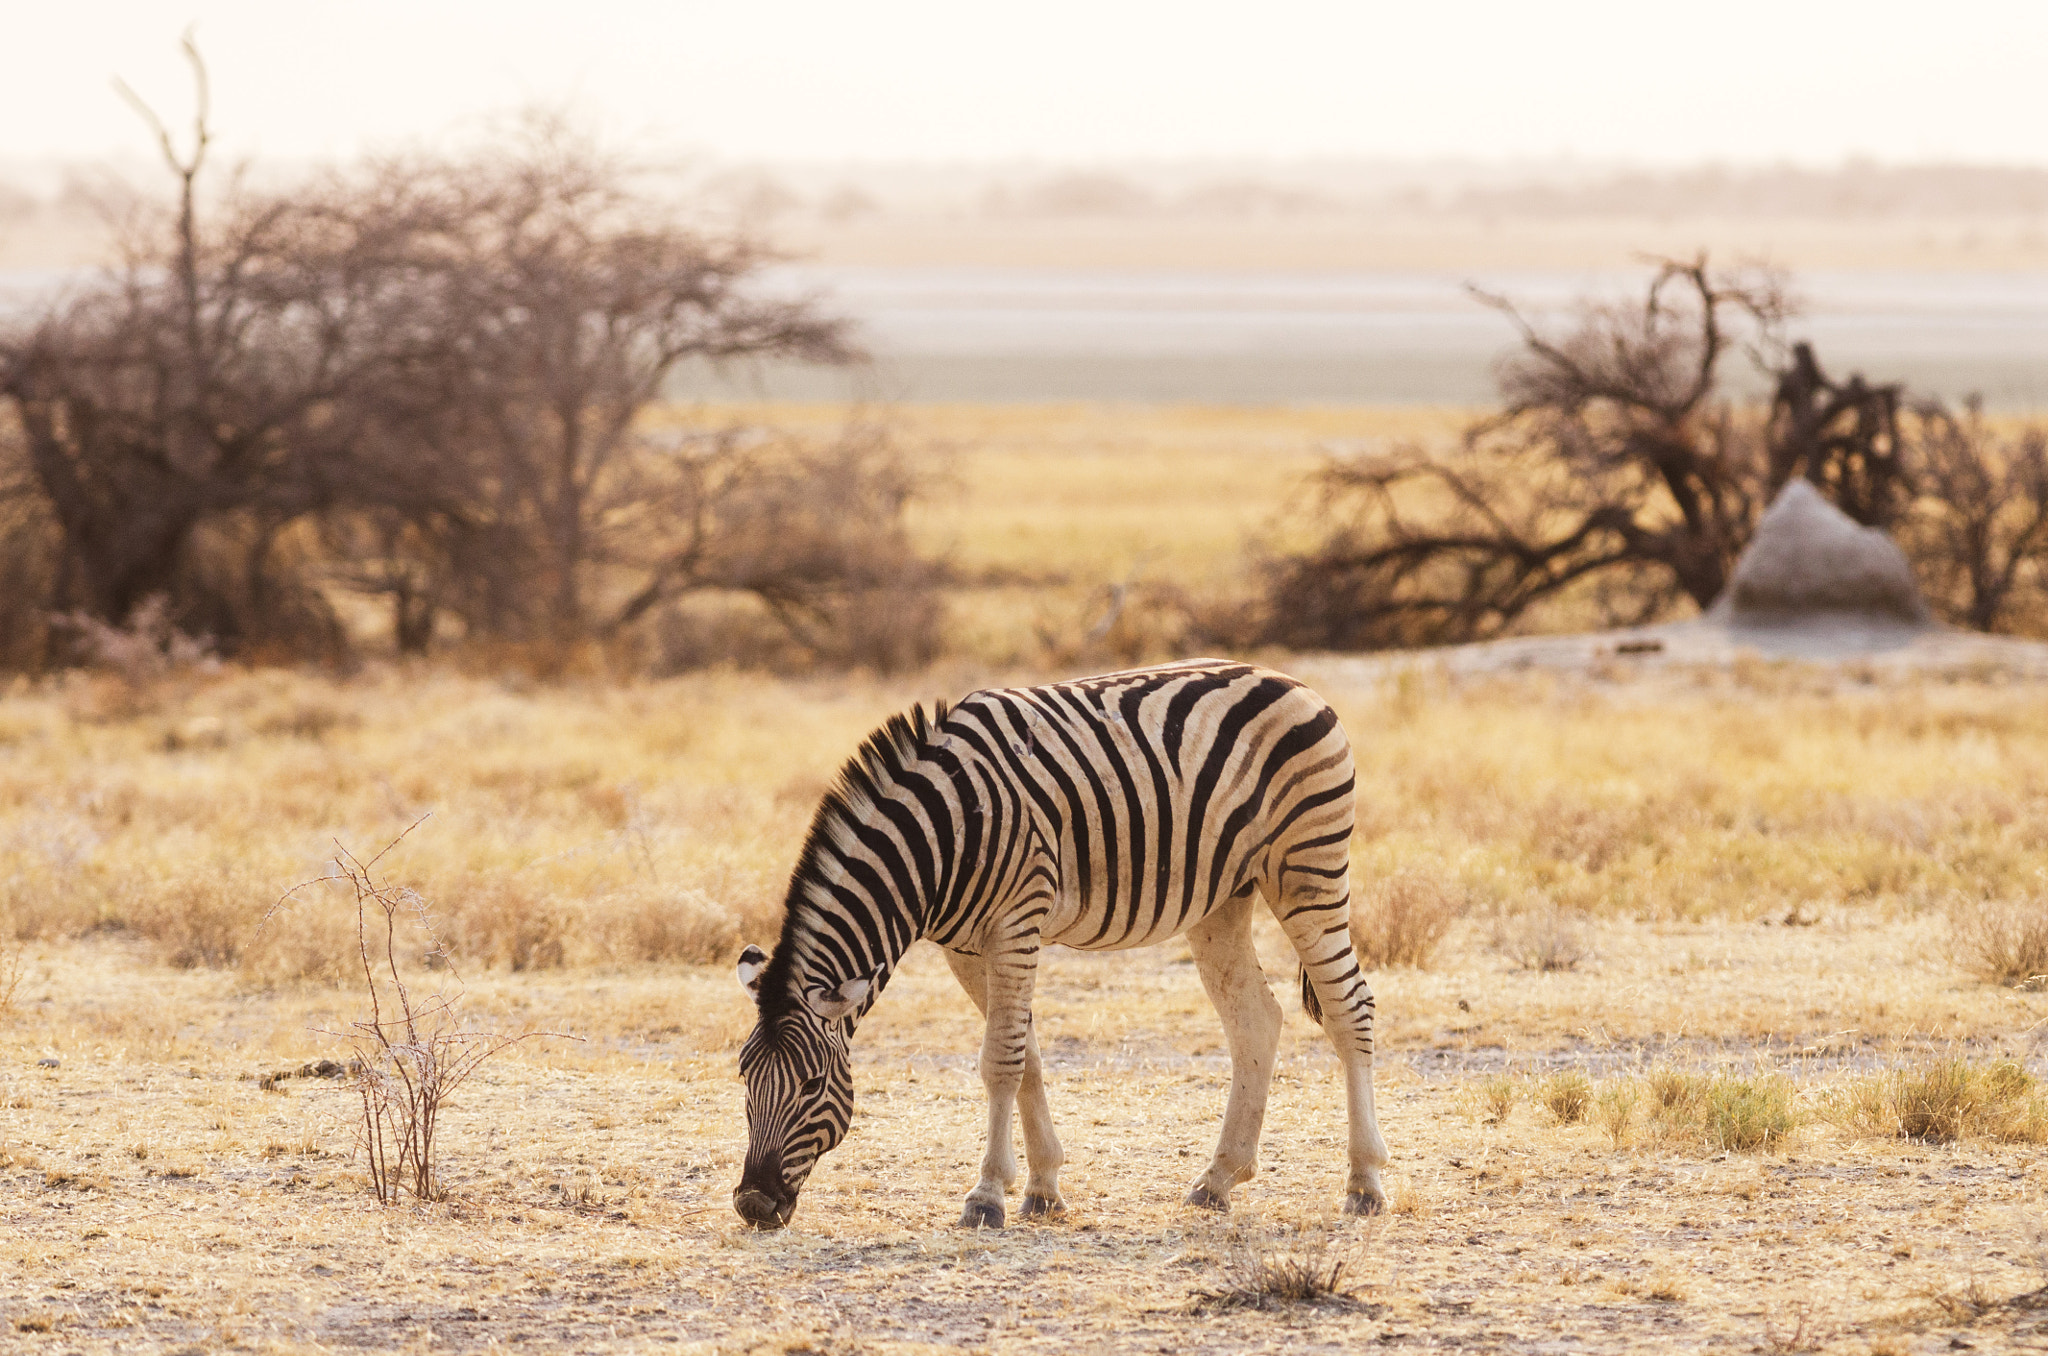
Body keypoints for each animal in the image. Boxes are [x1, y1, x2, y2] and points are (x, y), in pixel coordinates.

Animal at [729, 659, 1384, 1229]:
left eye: (812, 1085)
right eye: (744, 1078)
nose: (753, 1205)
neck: (943, 834)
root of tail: (1292, 681)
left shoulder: (1015, 922)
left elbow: (1001, 1061)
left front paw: (986, 1196)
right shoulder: (966, 947)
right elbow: (1028, 1057)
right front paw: (1042, 1188)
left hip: (1307, 868)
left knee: (1350, 1008)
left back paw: (1365, 1184)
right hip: (1223, 898)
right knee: (1255, 1020)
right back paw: (1219, 1178)